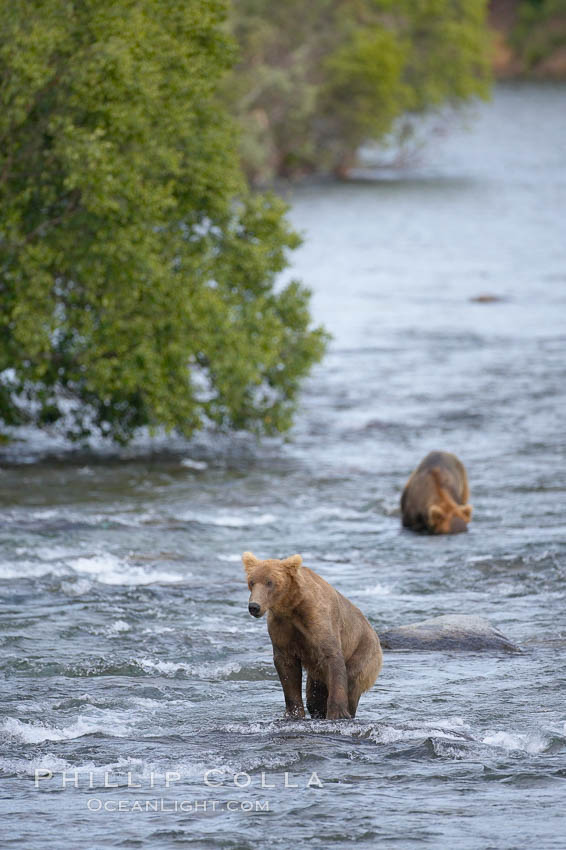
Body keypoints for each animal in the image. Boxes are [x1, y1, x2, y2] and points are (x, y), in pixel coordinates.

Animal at [242, 552, 384, 720]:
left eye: (270, 582)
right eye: (251, 582)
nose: (254, 606)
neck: (291, 607)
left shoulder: (317, 620)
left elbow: (332, 656)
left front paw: (337, 713)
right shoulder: (282, 627)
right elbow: (286, 667)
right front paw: (293, 713)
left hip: (363, 652)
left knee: (351, 681)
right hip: (317, 673)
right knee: (315, 696)